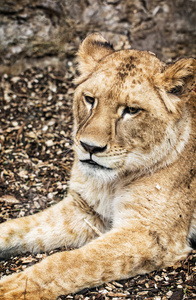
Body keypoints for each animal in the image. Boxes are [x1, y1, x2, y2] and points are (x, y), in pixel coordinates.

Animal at [0, 31, 195, 298]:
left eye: (131, 110)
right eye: (90, 99)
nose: (90, 147)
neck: (112, 182)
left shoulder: (150, 233)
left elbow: (67, 262)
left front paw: (10, 288)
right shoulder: (85, 211)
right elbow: (18, 226)